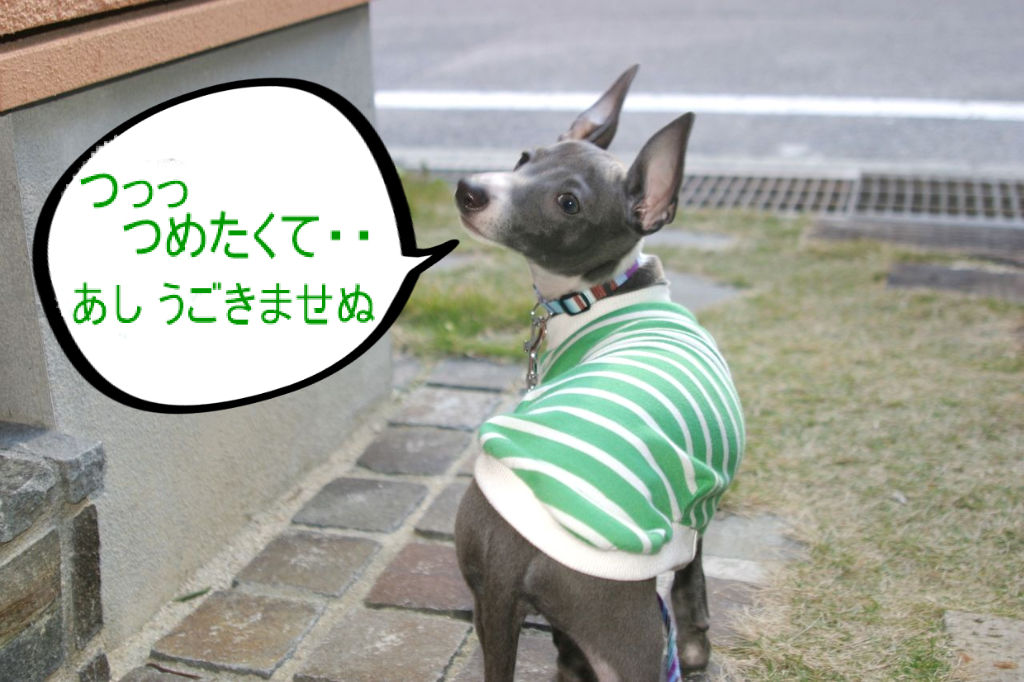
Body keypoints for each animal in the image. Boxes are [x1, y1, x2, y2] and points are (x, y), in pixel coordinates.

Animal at [453, 65, 745, 682]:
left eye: (568, 202)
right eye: (525, 157)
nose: (469, 189)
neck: (599, 292)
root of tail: (510, 546)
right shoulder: (698, 511)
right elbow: (693, 583)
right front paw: (697, 649)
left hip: (485, 587)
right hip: (627, 626)